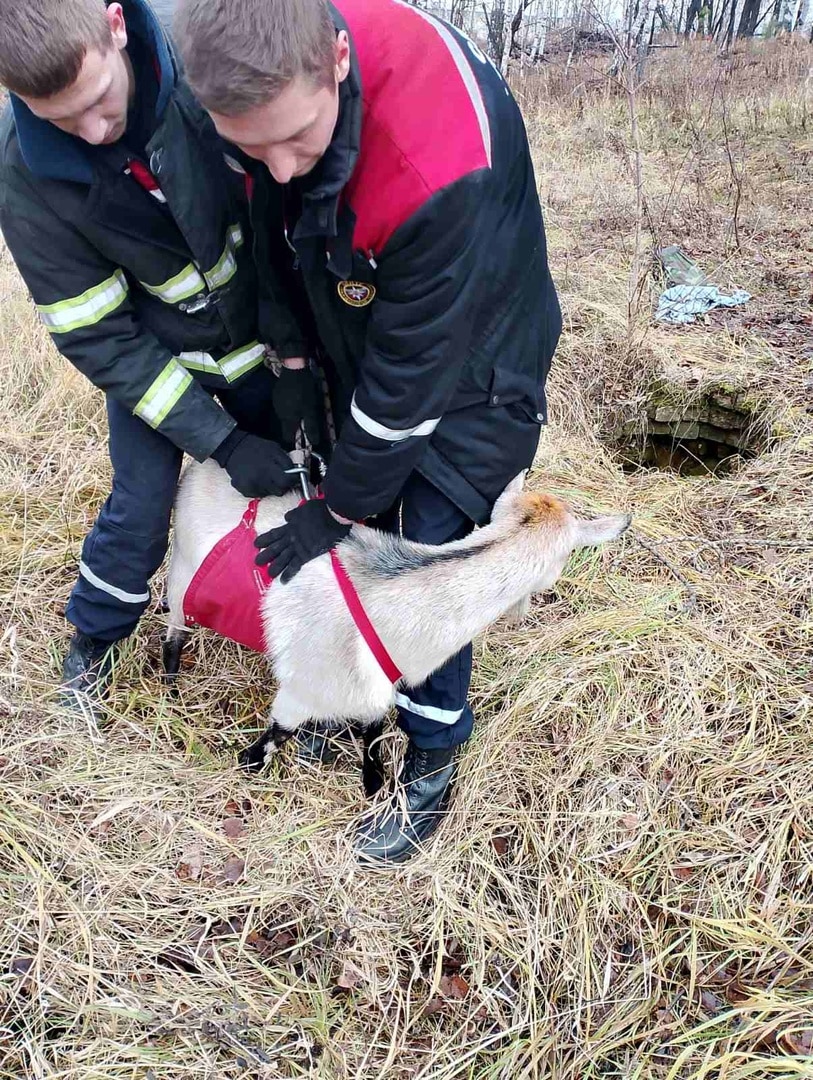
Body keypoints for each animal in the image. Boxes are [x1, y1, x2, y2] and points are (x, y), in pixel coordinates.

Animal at [161, 457, 626, 794]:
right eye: (563, 561)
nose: (522, 614)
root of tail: (200, 466)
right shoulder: (302, 692)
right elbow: (278, 732)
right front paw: (251, 763)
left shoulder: (375, 691)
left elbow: (374, 730)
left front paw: (374, 780)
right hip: (182, 576)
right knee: (173, 636)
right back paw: (170, 692)